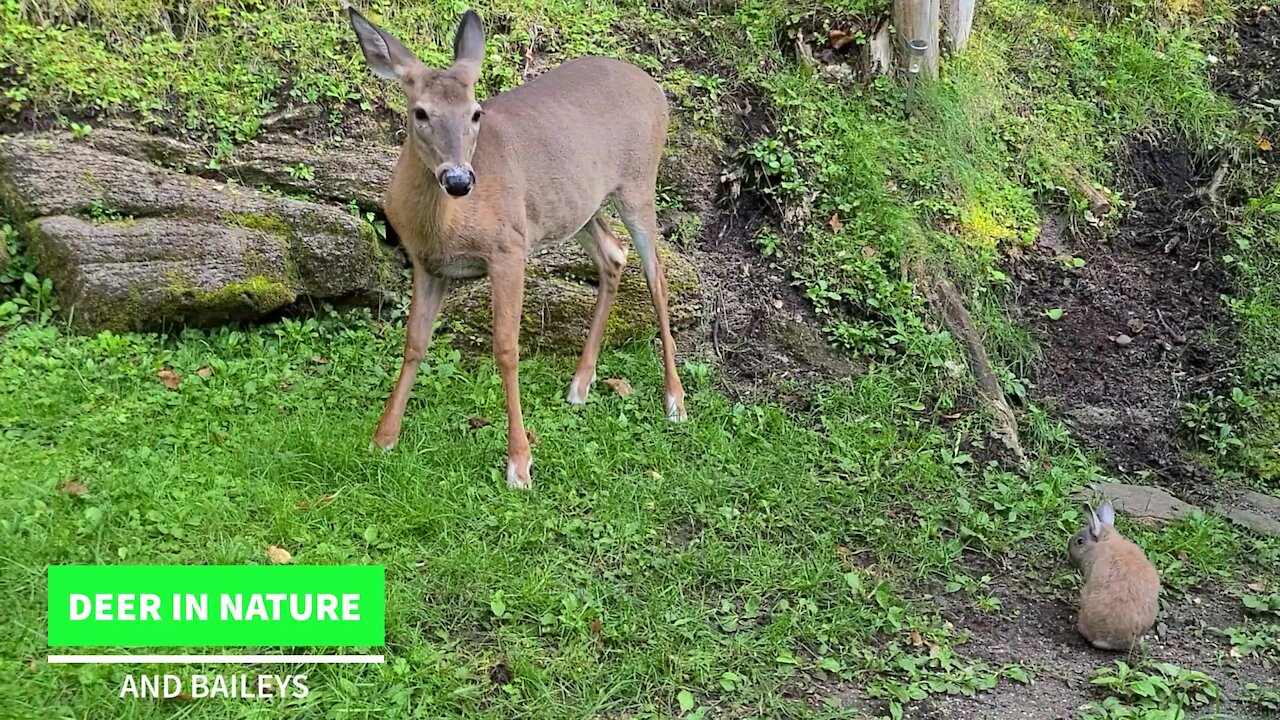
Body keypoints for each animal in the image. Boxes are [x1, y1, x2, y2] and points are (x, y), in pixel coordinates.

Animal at [345, 5, 691, 486]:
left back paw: (674, 401)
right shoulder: (427, 263)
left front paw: (520, 463)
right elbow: (414, 342)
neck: (444, 224)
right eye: (420, 113)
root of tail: (655, 87)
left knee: (656, 274)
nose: (459, 179)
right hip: (577, 205)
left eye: (475, 113)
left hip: (639, 183)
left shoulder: (508, 248)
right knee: (613, 254)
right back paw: (580, 385)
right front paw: (384, 437)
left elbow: (507, 349)